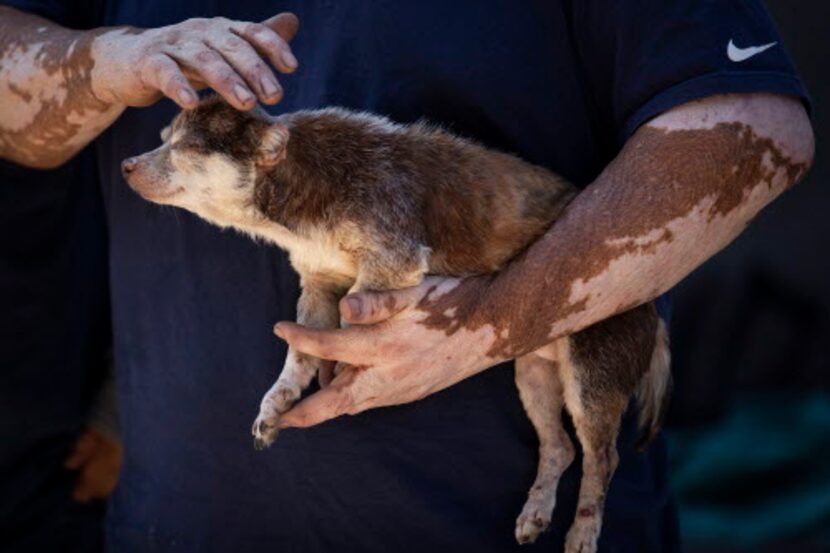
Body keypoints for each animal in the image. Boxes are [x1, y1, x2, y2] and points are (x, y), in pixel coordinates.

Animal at [122, 97, 668, 548]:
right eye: (164, 136)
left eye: (190, 146)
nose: (126, 164)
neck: (300, 191)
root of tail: (656, 316)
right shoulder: (318, 279)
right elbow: (299, 352)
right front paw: (274, 406)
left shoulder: (393, 260)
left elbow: (347, 317)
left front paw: (339, 370)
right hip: (532, 373)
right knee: (559, 447)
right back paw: (534, 516)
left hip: (592, 372)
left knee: (602, 458)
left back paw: (583, 534)